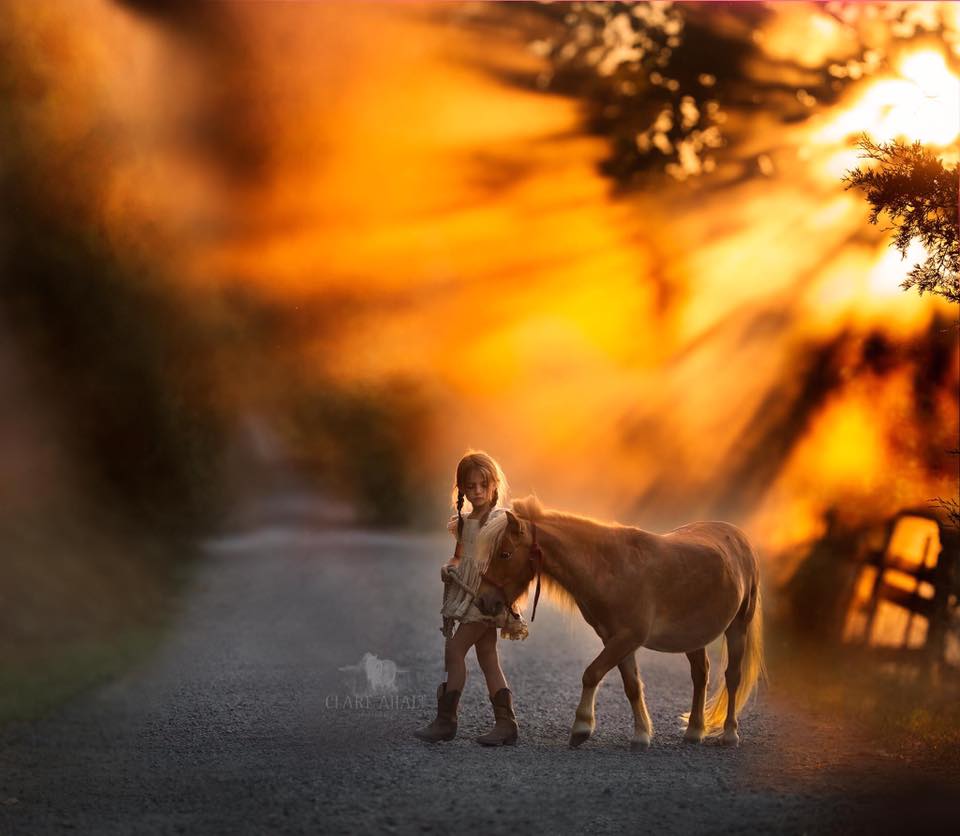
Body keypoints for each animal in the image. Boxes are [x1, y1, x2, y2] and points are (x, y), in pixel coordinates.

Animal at [478, 494, 764, 748]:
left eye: (504, 554)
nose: (483, 600)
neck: (612, 569)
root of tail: (737, 536)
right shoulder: (614, 639)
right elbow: (632, 686)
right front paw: (641, 735)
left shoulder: (628, 638)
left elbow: (592, 674)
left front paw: (582, 727)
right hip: (693, 636)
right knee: (700, 675)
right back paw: (694, 730)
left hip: (738, 627)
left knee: (732, 677)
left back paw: (730, 735)